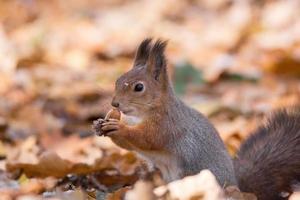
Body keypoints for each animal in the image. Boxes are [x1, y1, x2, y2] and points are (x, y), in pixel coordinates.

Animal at [93, 38, 300, 199]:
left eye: (139, 87)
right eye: (118, 80)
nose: (114, 104)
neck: (140, 115)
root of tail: (238, 188)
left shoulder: (168, 124)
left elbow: (148, 138)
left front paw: (119, 129)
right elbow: (129, 145)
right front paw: (99, 125)